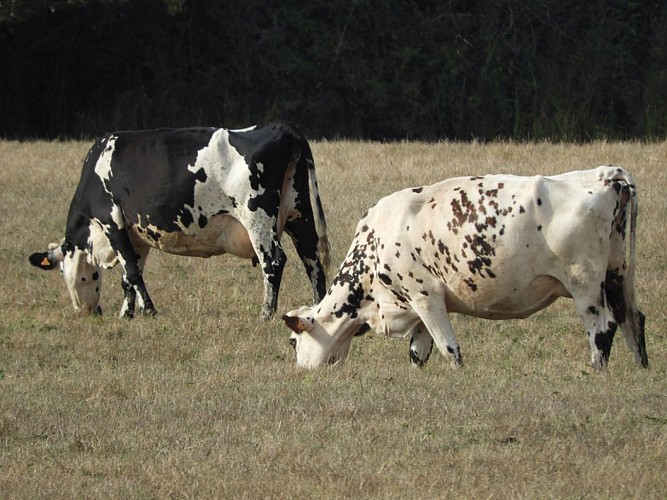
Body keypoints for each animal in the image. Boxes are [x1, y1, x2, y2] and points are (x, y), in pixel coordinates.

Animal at [29, 121, 330, 320]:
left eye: (62, 271)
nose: (87, 311)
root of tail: (279, 127)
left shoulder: (111, 221)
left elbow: (132, 272)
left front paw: (149, 310)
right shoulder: (136, 233)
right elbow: (129, 276)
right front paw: (128, 314)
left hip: (257, 216)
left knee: (274, 261)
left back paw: (265, 314)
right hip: (299, 214)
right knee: (312, 260)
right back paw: (317, 309)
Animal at [283, 166, 648, 370]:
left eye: (292, 342)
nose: (300, 371)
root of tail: (605, 174)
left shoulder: (425, 296)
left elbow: (449, 349)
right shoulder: (420, 306)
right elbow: (418, 352)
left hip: (584, 282)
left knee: (603, 327)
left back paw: (597, 372)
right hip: (617, 274)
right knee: (633, 320)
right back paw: (639, 371)